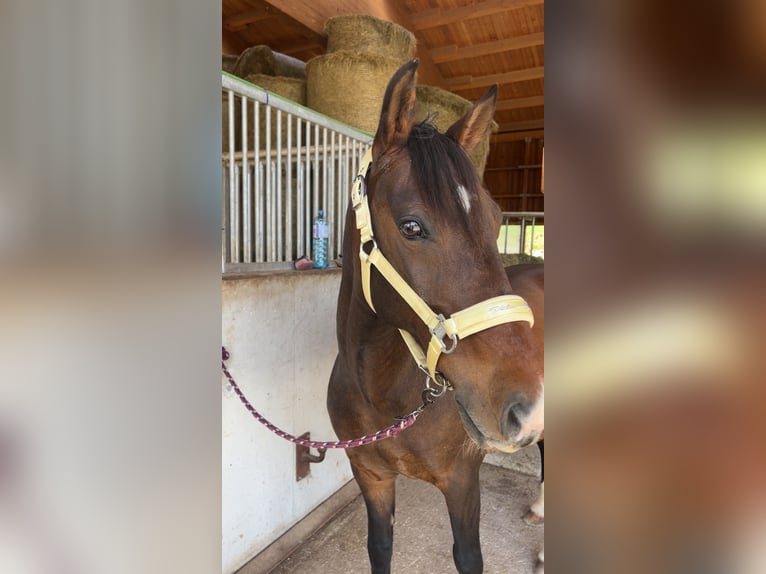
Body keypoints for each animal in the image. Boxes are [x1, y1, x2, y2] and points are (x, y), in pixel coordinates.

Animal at [327, 59, 544, 574]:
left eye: (497, 218)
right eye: (411, 226)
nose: (526, 411)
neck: (382, 396)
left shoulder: (463, 484)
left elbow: (468, 557)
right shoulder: (371, 478)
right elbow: (379, 548)